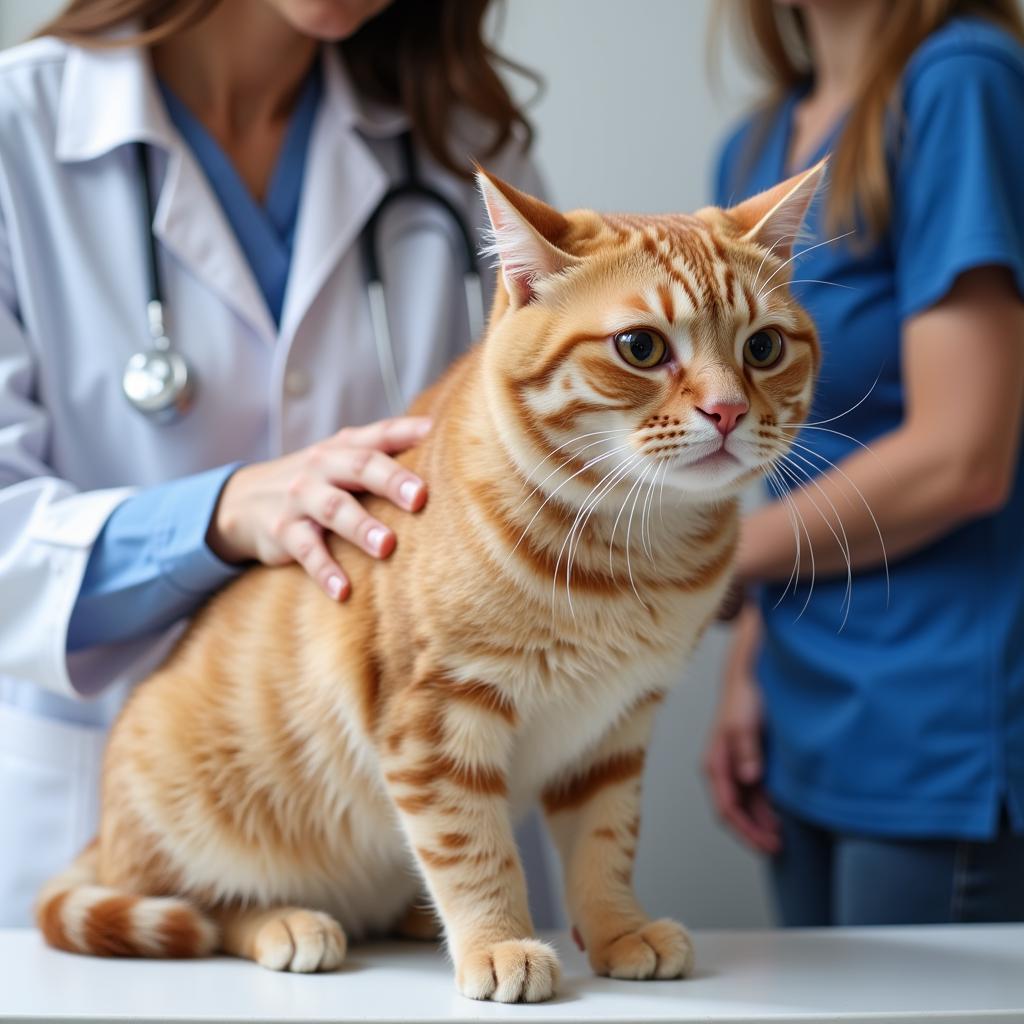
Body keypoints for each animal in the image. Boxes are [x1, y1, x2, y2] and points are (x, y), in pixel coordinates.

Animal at [37, 159, 823, 999]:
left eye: (764, 346)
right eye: (640, 347)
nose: (728, 409)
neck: (637, 559)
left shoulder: (614, 729)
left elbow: (605, 843)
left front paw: (617, 930)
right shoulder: (435, 714)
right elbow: (471, 849)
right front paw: (499, 942)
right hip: (188, 828)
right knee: (205, 912)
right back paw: (291, 922)